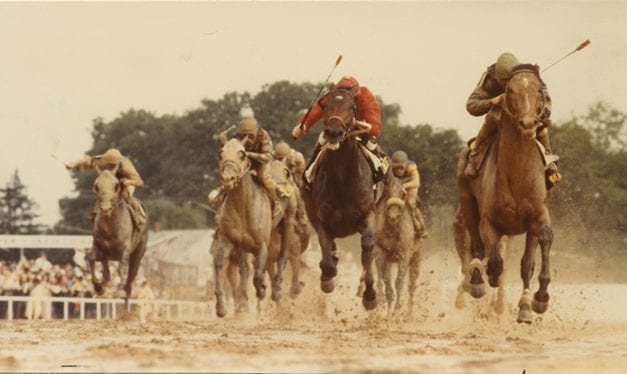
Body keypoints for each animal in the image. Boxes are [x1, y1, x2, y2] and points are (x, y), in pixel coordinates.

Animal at [88, 170, 148, 310]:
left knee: (130, 282)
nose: (105, 208)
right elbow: (91, 258)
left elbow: (121, 267)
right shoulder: (100, 248)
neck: (111, 228)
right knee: (107, 273)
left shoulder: (125, 250)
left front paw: (119, 291)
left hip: (138, 254)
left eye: (116, 186)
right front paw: (98, 288)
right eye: (96, 186)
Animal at [300, 87, 388, 310]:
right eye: (325, 106)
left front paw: (370, 296)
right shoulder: (321, 220)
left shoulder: (368, 215)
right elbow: (327, 260)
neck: (342, 179)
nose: (333, 132)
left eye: (352, 107)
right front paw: (327, 280)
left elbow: (367, 249)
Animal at [456, 63, 556, 322]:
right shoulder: (489, 221)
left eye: (539, 90)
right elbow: (494, 260)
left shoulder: (538, 216)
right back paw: (477, 281)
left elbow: (538, 249)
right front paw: (485, 278)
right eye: (510, 90)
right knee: (477, 247)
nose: (529, 124)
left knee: (524, 261)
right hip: (467, 201)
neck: (516, 176)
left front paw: (537, 300)